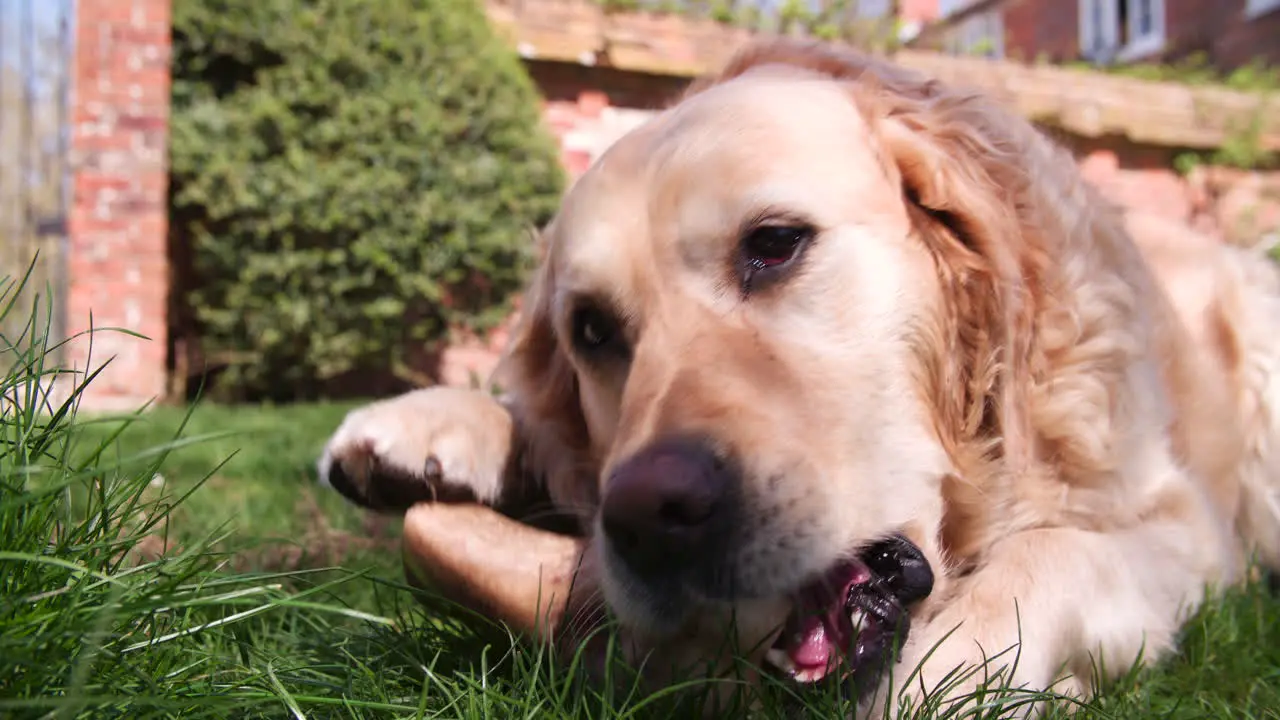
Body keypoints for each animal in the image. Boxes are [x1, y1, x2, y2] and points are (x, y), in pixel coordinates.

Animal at [317, 41, 1280, 712]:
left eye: (774, 245)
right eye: (591, 329)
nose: (647, 516)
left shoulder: (1174, 520)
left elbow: (1050, 552)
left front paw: (951, 670)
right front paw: (441, 422)